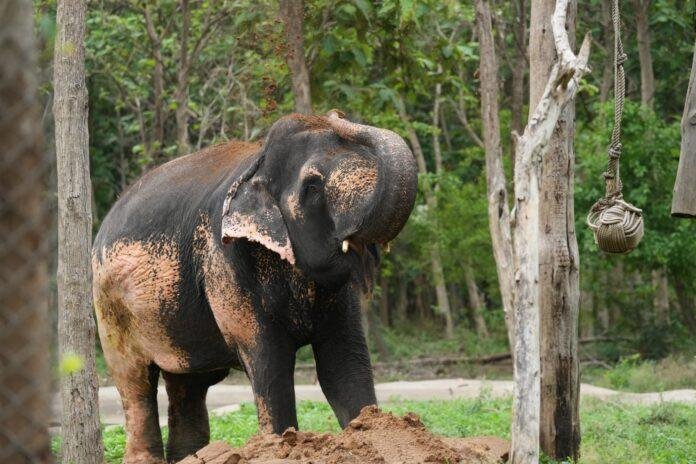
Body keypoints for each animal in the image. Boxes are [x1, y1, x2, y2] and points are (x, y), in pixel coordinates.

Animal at [92, 111, 418, 463]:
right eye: (313, 186)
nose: (334, 115)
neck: (257, 164)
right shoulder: (226, 263)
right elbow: (270, 362)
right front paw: (280, 446)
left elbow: (342, 362)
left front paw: (375, 436)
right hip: (111, 310)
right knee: (135, 382)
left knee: (189, 385)